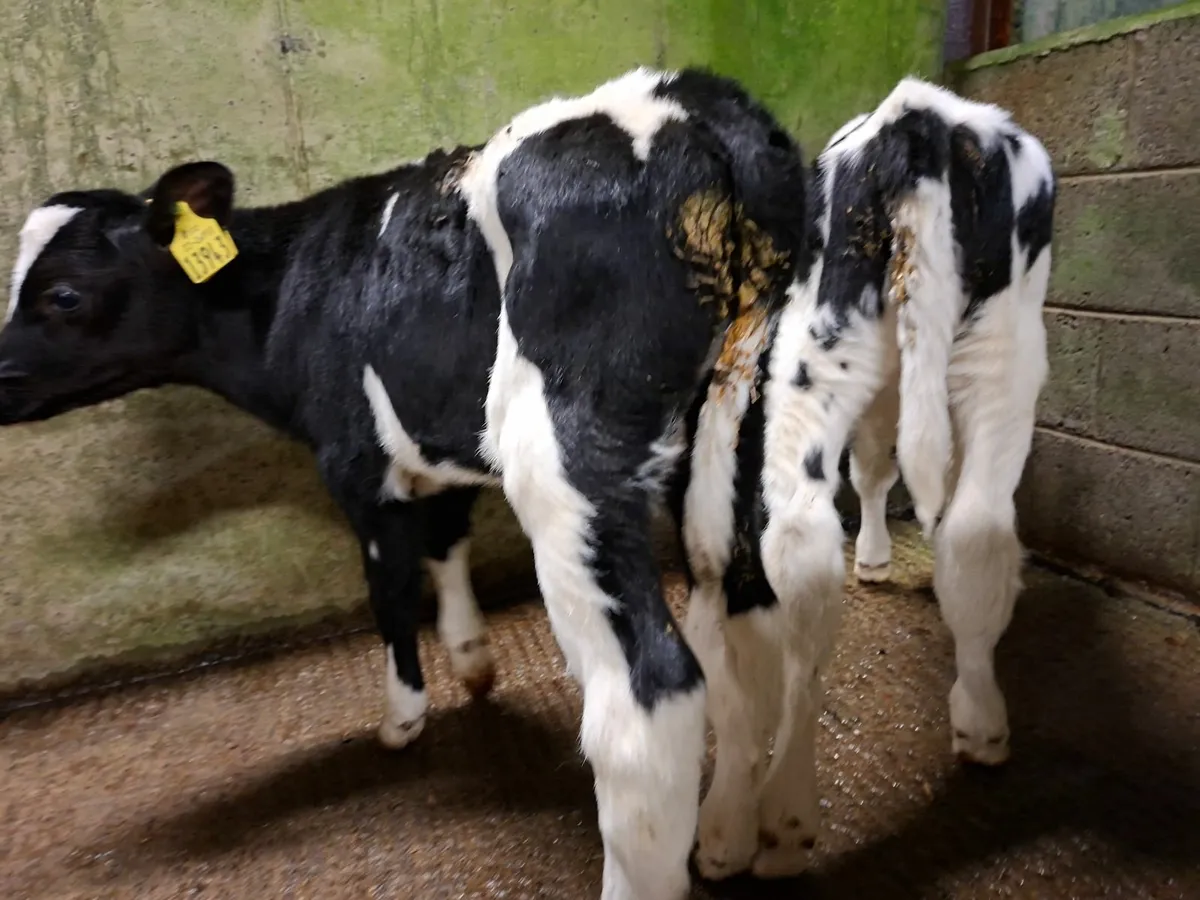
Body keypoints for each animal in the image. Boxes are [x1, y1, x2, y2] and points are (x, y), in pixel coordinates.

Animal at [0, 67, 812, 900]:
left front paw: (403, 716)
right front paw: (473, 656)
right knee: (751, 618)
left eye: (62, 294)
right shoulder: (442, 441)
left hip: (566, 461)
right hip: (742, 422)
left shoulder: (357, 467)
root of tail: (693, 102)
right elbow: (447, 541)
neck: (298, 288)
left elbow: (389, 590)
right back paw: (735, 834)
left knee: (652, 694)